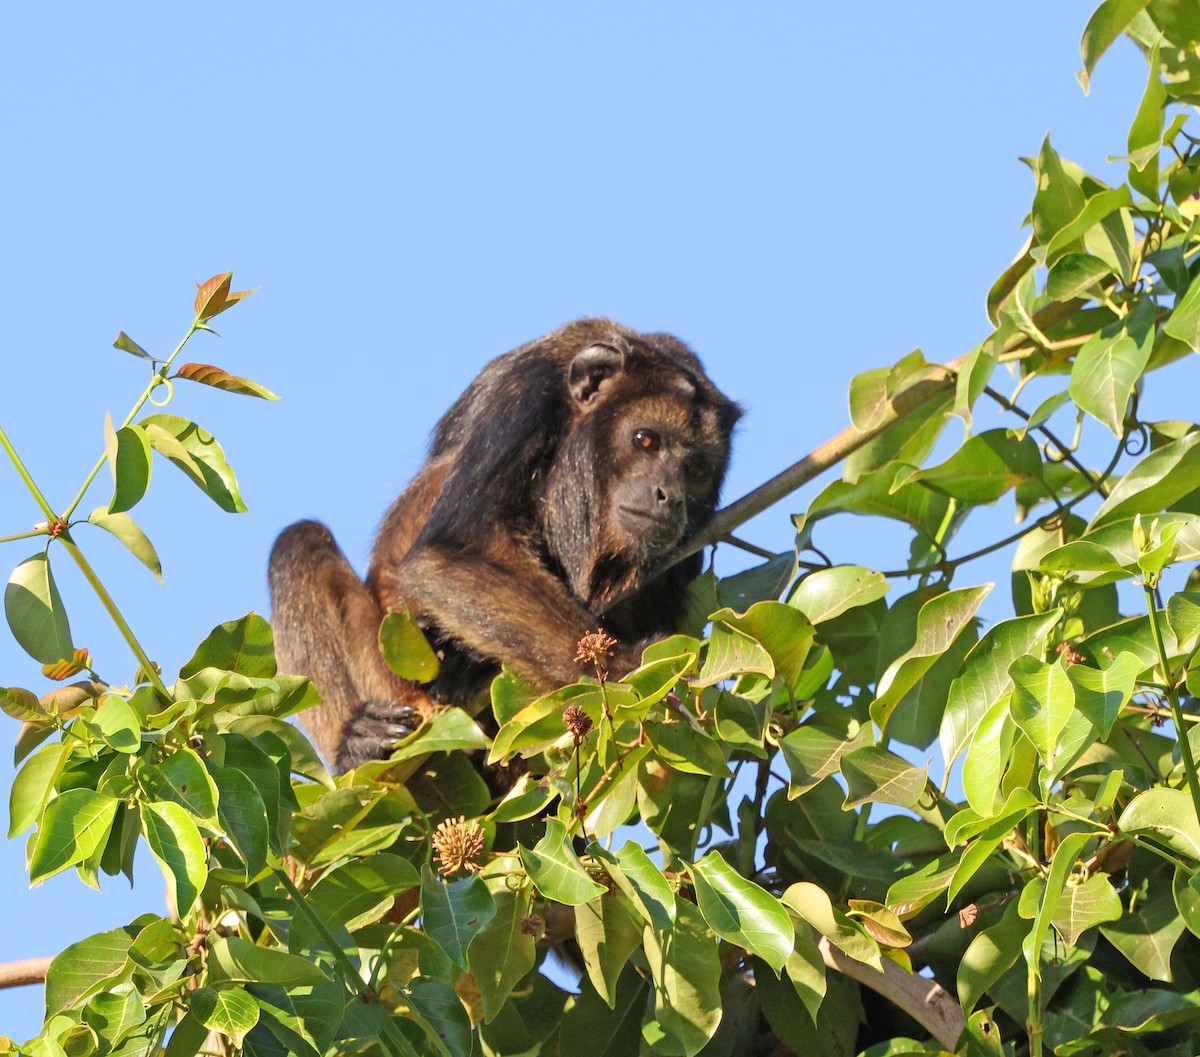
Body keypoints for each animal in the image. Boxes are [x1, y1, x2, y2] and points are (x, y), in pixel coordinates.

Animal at [268, 318, 739, 774]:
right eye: (645, 440)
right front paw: (625, 668)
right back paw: (359, 746)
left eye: (696, 471)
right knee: (297, 544)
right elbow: (446, 554)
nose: (670, 497)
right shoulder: (522, 395)